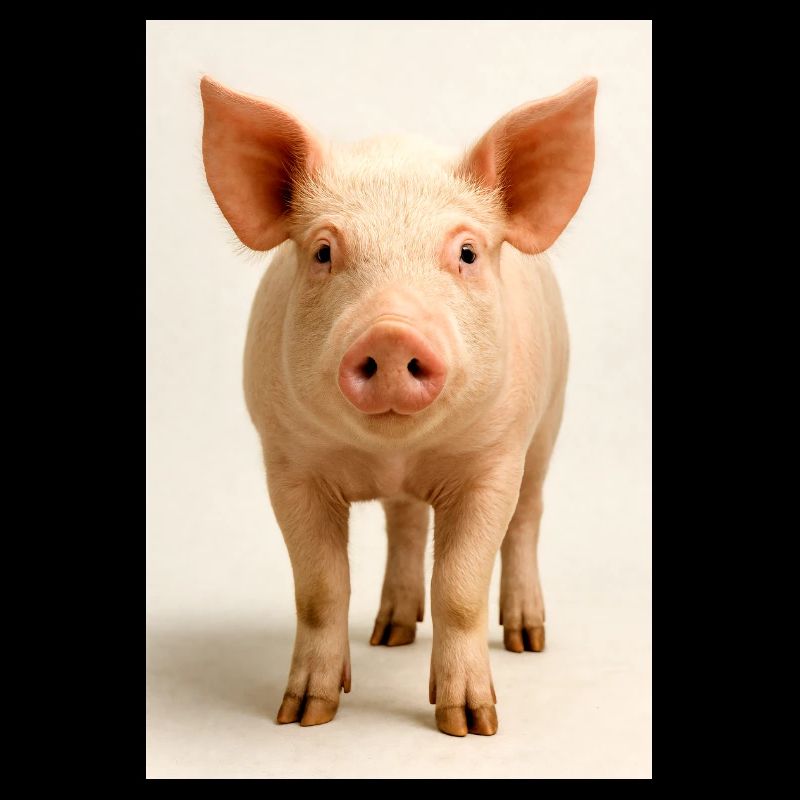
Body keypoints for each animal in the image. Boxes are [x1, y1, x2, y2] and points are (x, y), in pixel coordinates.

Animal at [200, 74, 597, 737]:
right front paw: (303, 716)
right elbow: (320, 588)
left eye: (466, 253)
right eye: (323, 252)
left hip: (551, 420)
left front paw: (472, 725)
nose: (390, 333)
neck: (395, 453)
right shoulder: (287, 463)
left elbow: (460, 586)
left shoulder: (494, 460)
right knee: (406, 523)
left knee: (527, 519)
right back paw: (389, 635)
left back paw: (526, 639)